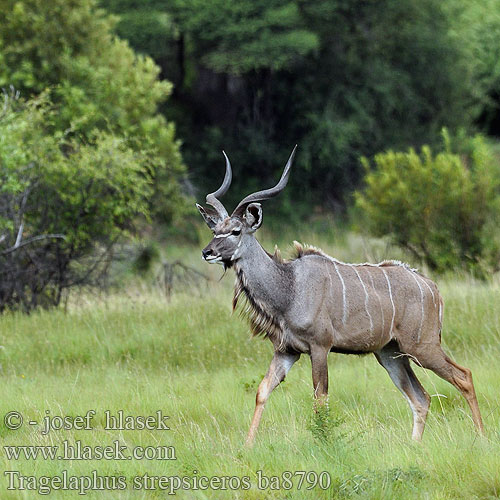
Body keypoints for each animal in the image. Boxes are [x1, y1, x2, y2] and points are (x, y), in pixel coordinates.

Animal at [196, 146, 484, 444]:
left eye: (235, 231)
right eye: (214, 230)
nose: (207, 252)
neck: (290, 287)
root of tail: (432, 288)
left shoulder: (320, 347)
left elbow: (320, 398)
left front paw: (324, 442)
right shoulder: (286, 351)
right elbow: (262, 390)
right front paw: (248, 446)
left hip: (422, 347)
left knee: (463, 376)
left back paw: (482, 437)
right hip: (390, 353)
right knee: (421, 397)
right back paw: (416, 445)